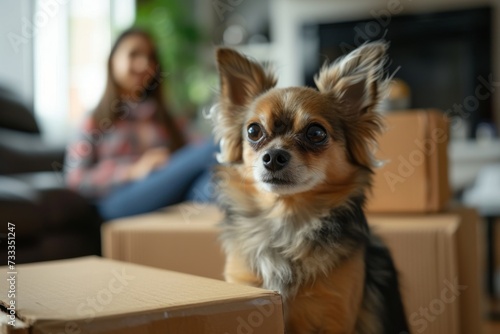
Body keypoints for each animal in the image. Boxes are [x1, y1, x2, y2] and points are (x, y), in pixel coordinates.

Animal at [209, 42, 408, 334]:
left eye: (316, 133)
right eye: (253, 131)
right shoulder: (246, 286)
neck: (288, 220)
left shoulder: (335, 316)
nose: (273, 156)